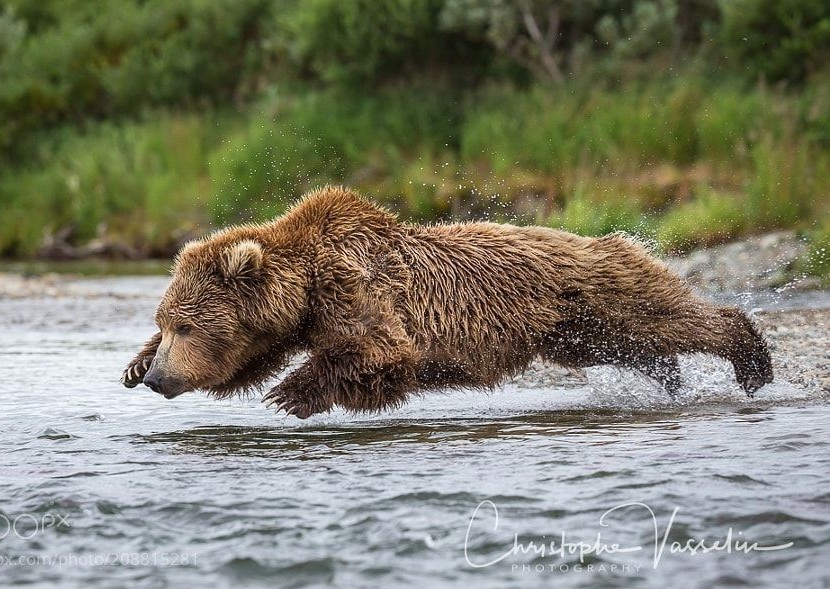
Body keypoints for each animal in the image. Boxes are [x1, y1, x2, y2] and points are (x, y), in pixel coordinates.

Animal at [120, 186, 776, 416]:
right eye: (165, 320)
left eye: (185, 325)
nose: (157, 378)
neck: (306, 288)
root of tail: (619, 238)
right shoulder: (288, 322)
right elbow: (248, 359)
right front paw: (131, 363)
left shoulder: (356, 287)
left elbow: (382, 351)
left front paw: (291, 394)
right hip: (576, 326)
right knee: (632, 344)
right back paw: (668, 377)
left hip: (602, 287)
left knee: (672, 317)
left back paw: (751, 361)